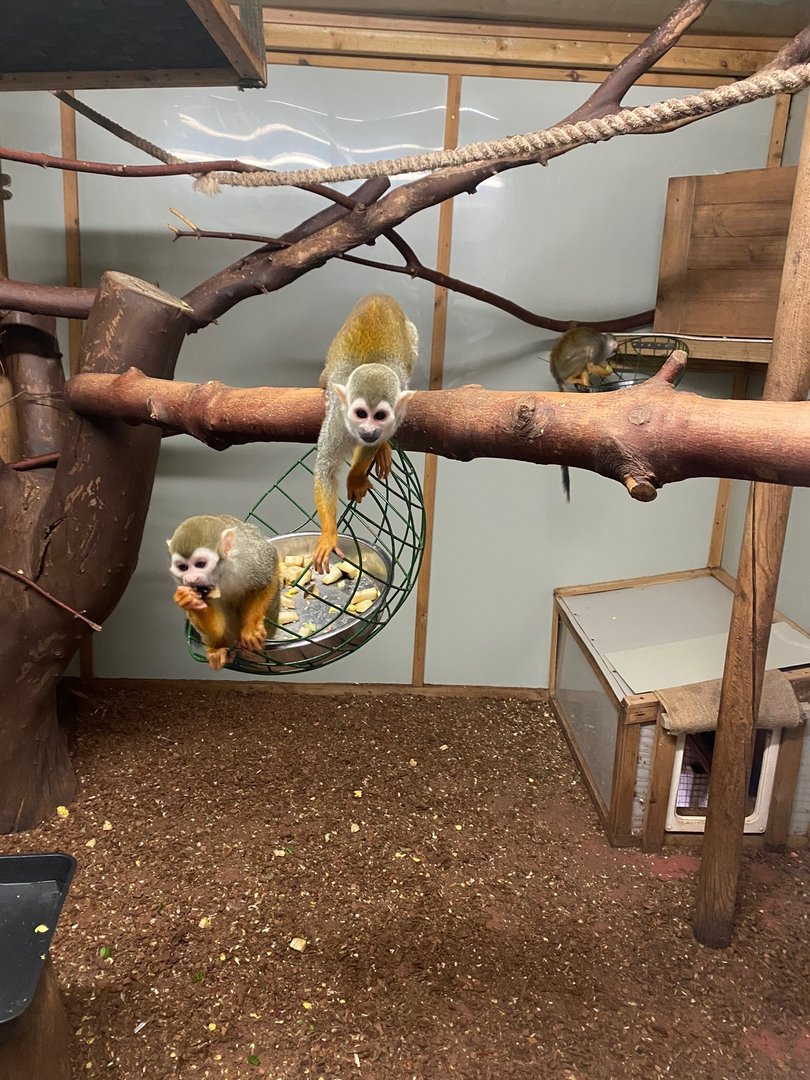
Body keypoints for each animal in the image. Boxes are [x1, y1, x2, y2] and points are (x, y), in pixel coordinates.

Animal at [167, 515, 281, 671]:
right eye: (183, 567)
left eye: (200, 564)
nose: (191, 579)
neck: (221, 573)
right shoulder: (180, 582)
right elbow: (217, 628)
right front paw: (188, 600)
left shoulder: (249, 557)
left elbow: (268, 576)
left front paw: (251, 629)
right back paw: (216, 650)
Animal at [312, 294, 417, 574]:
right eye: (360, 413)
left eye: (379, 416)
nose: (368, 430)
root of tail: (379, 296)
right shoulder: (337, 420)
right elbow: (326, 466)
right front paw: (329, 534)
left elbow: (368, 449)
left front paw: (356, 476)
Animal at [549, 327, 618, 501]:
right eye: (614, 350)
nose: (613, 355)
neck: (603, 340)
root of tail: (556, 373)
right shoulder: (599, 348)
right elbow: (592, 365)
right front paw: (609, 369)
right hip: (566, 367)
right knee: (585, 356)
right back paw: (573, 379)